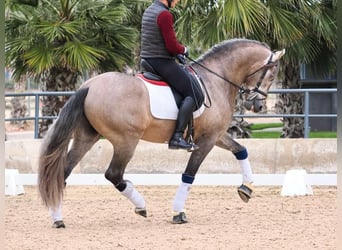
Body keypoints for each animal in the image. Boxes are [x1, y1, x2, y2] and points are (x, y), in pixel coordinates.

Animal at [38, 38, 286, 227]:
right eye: (272, 74)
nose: (258, 106)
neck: (216, 79)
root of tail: (89, 86)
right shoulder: (206, 140)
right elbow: (189, 174)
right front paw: (178, 213)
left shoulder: (214, 135)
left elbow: (241, 150)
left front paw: (246, 188)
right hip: (126, 141)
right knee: (114, 174)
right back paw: (141, 206)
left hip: (86, 137)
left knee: (64, 172)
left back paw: (57, 218)